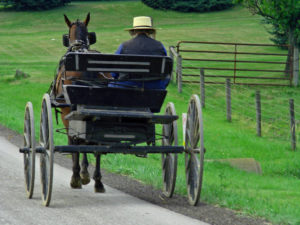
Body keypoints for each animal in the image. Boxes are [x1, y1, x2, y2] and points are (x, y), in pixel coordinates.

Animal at [52, 13, 105, 193]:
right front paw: (85, 173)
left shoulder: (66, 114)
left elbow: (73, 142)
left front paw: (81, 174)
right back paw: (98, 181)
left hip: (68, 113)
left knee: (76, 141)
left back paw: (76, 177)